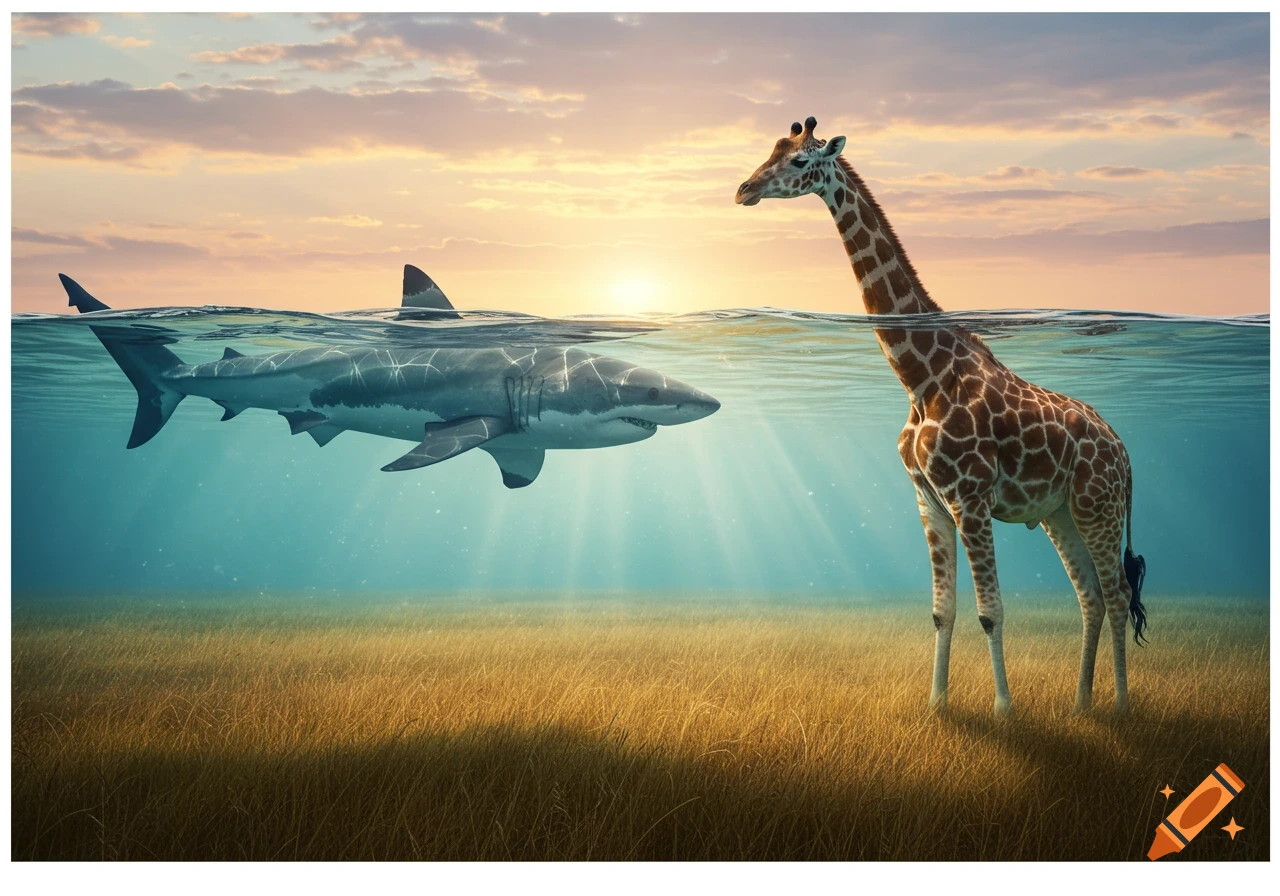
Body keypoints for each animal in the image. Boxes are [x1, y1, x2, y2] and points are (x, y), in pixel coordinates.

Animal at [735, 117, 1147, 717]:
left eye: (798, 161)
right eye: (772, 149)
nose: (743, 190)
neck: (920, 377)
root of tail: (1124, 452)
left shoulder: (969, 499)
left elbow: (990, 611)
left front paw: (1004, 709)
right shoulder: (928, 499)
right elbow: (941, 610)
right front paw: (937, 704)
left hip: (1099, 505)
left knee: (1117, 595)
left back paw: (1117, 705)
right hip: (1061, 512)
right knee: (1090, 596)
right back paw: (1080, 704)